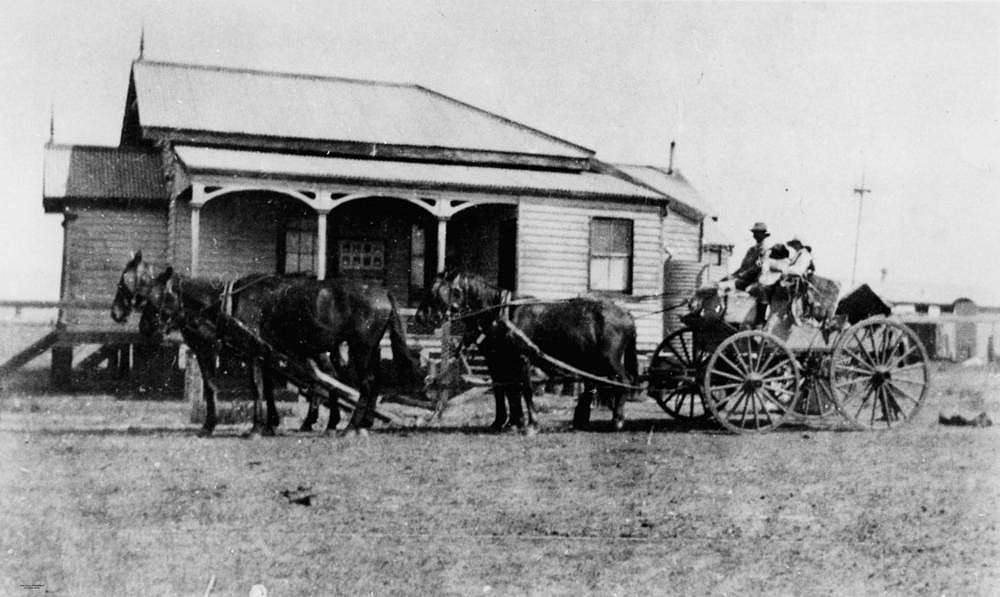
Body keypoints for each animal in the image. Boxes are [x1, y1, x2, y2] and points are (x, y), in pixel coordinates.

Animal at [113, 249, 426, 436]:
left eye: (155, 297)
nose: (142, 326)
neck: (221, 304)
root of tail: (382, 292)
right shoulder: (261, 352)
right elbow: (267, 386)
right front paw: (268, 423)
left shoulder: (228, 351)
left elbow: (248, 386)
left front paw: (249, 426)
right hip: (364, 349)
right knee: (358, 382)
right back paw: (356, 423)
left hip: (357, 348)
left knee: (361, 383)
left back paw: (349, 426)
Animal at [416, 272, 640, 430]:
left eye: (435, 291)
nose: (420, 317)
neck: (502, 313)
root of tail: (627, 314)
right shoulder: (498, 360)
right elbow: (504, 389)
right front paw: (505, 422)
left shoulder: (520, 358)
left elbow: (524, 388)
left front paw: (530, 423)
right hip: (593, 361)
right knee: (597, 384)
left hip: (609, 360)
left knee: (623, 382)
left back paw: (617, 420)